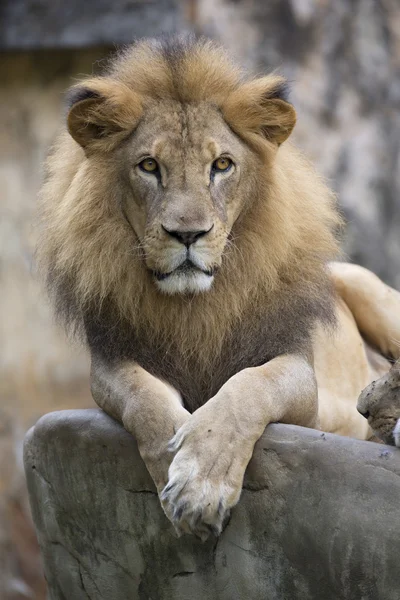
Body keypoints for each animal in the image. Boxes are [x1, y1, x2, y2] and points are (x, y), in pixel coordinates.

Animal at [36, 35, 400, 540]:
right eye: (149, 165)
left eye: (222, 165)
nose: (188, 235)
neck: (196, 306)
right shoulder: (112, 360)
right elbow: (144, 399)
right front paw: (176, 461)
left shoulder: (302, 381)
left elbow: (247, 389)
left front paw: (200, 482)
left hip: (362, 284)